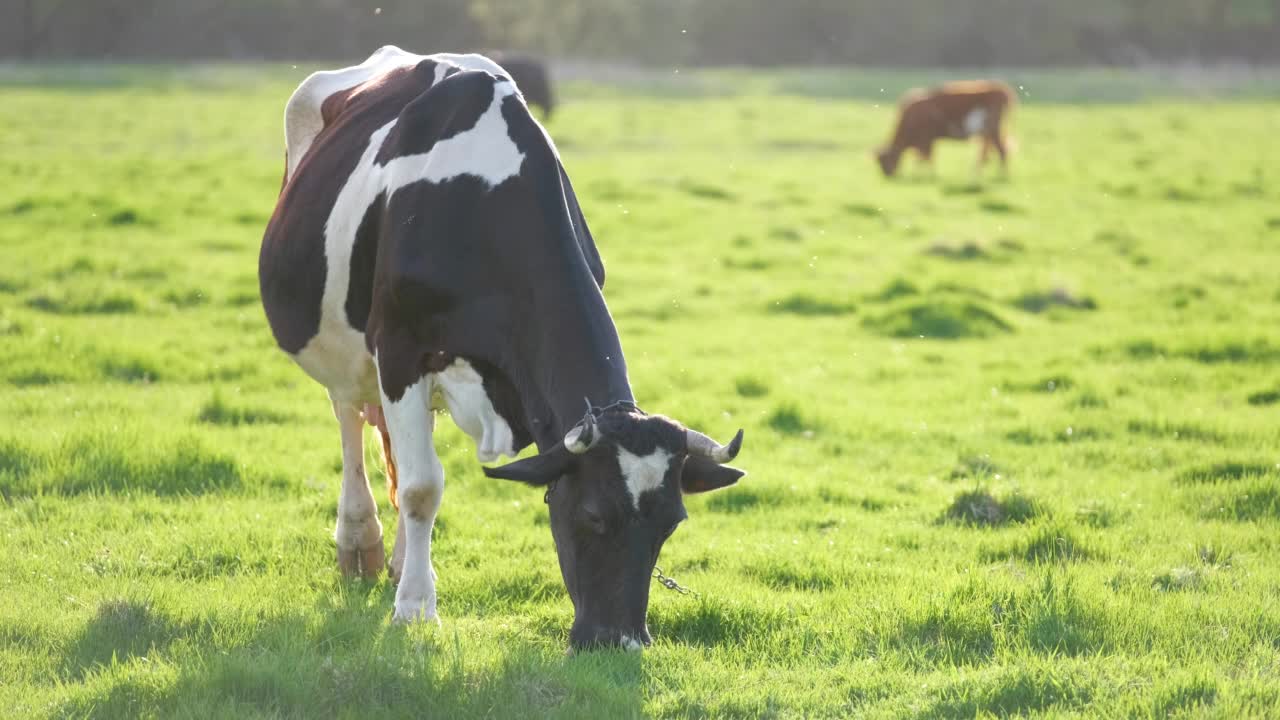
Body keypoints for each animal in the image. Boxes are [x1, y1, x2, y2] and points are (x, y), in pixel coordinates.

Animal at [258, 47, 747, 648]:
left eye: (671, 523)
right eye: (592, 514)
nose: (623, 642)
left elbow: (417, 475)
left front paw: (412, 588)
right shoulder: (399, 349)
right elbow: (421, 487)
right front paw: (416, 610)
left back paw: (397, 560)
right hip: (341, 348)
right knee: (350, 420)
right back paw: (360, 542)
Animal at [875, 79, 1013, 176]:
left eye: (884, 162)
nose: (888, 176)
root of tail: (1001, 88)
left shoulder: (925, 139)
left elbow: (926, 158)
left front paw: (927, 175)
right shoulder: (928, 141)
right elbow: (925, 157)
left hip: (993, 129)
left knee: (1001, 151)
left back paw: (1001, 176)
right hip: (987, 133)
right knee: (986, 153)